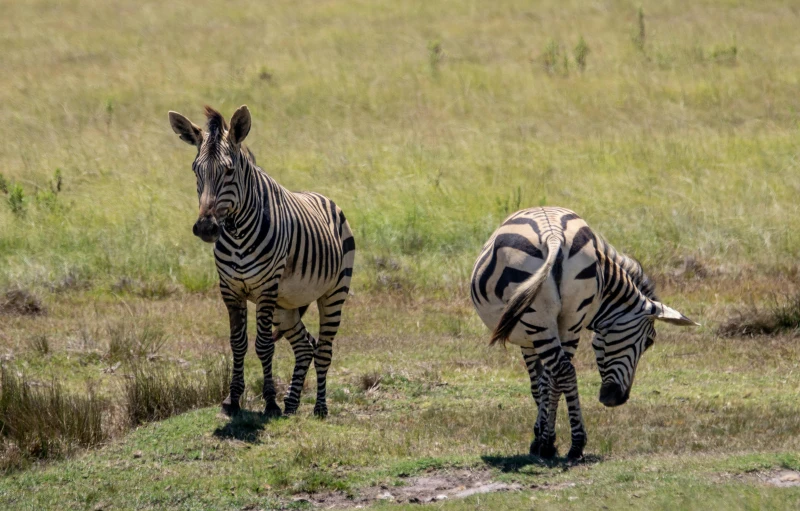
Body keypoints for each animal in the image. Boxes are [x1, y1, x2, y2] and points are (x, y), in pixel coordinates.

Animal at [167, 105, 354, 420]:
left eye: (229, 170)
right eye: (195, 170)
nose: (206, 228)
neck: (237, 233)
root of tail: (324, 197)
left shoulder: (266, 289)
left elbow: (264, 346)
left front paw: (270, 402)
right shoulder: (230, 289)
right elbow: (238, 343)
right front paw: (233, 399)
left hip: (333, 292)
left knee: (324, 350)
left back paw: (319, 407)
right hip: (285, 305)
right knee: (305, 346)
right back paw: (292, 404)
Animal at [472, 207, 696, 460]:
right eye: (649, 342)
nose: (616, 399)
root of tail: (553, 235)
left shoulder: (527, 338)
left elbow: (538, 384)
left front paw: (540, 438)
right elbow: (546, 380)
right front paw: (545, 435)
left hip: (537, 316)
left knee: (562, 370)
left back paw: (556, 444)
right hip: (571, 317)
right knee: (564, 372)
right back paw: (574, 443)